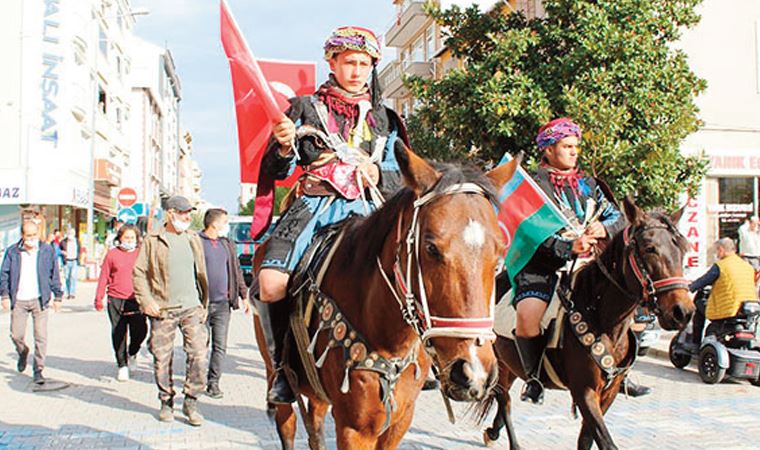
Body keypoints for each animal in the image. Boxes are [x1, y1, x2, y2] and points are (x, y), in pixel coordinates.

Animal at [252, 145, 520, 450]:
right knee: (287, 422)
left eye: (499, 253)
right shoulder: (354, 428)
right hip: (274, 369)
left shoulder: (399, 421)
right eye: (431, 247)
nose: (473, 373)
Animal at [480, 197, 696, 450]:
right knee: (504, 400)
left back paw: (493, 432)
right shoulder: (584, 391)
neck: (602, 319)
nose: (682, 312)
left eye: (682, 249)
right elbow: (605, 441)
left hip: (511, 363)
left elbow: (586, 440)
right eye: (649, 248)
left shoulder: (608, 393)